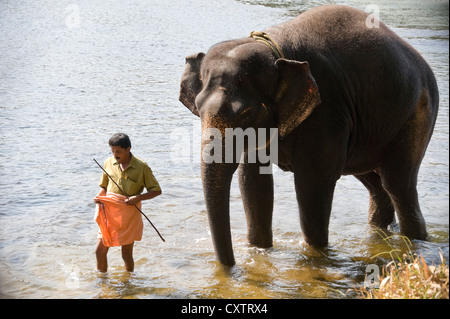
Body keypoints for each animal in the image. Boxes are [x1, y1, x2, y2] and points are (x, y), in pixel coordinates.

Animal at [178, 4, 438, 268]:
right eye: (197, 107)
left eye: (246, 114)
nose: (230, 267)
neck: (276, 51)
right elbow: (253, 181)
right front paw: (259, 251)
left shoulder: (327, 111)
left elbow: (312, 183)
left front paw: (314, 255)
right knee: (374, 183)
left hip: (418, 115)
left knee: (397, 183)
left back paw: (416, 240)